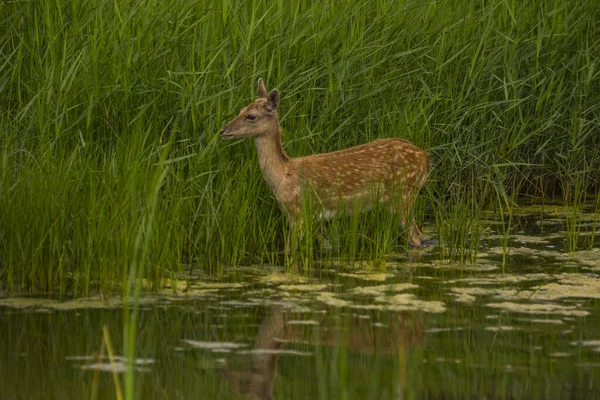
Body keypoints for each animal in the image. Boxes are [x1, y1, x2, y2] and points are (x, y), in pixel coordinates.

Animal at [220, 79, 426, 260]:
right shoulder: (316, 219)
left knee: (416, 236)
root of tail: (425, 158)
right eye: (241, 110)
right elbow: (328, 247)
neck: (283, 175)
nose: (224, 131)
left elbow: (289, 251)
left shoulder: (298, 212)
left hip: (403, 194)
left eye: (251, 116)